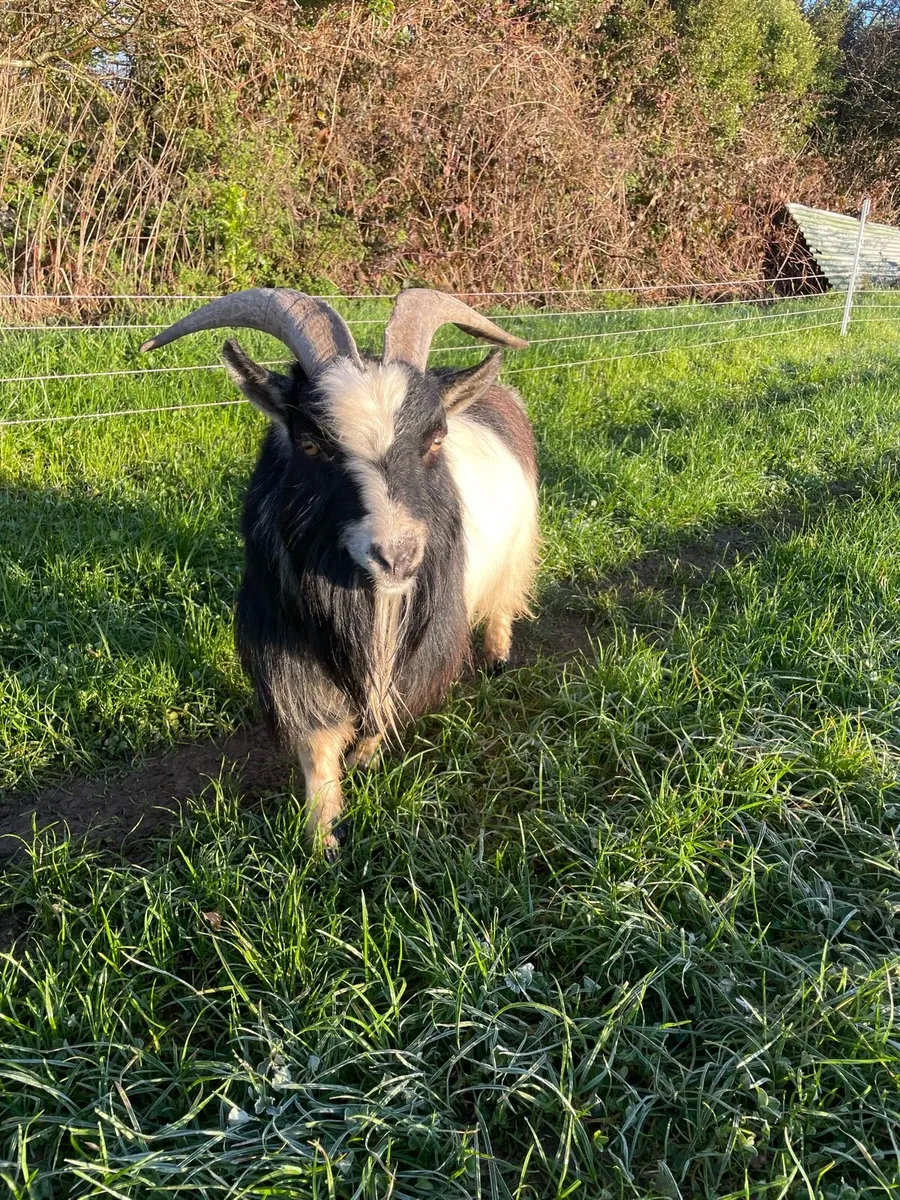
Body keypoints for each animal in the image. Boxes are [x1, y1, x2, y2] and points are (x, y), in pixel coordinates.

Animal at [141, 288, 539, 854]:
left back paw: (497, 656)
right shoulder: (287, 639)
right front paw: (322, 835)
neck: (364, 597)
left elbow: (384, 704)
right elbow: (316, 740)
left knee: (505, 599)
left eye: (435, 440)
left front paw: (364, 759)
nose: (397, 556)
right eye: (310, 444)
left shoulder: (415, 635)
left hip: (518, 546)